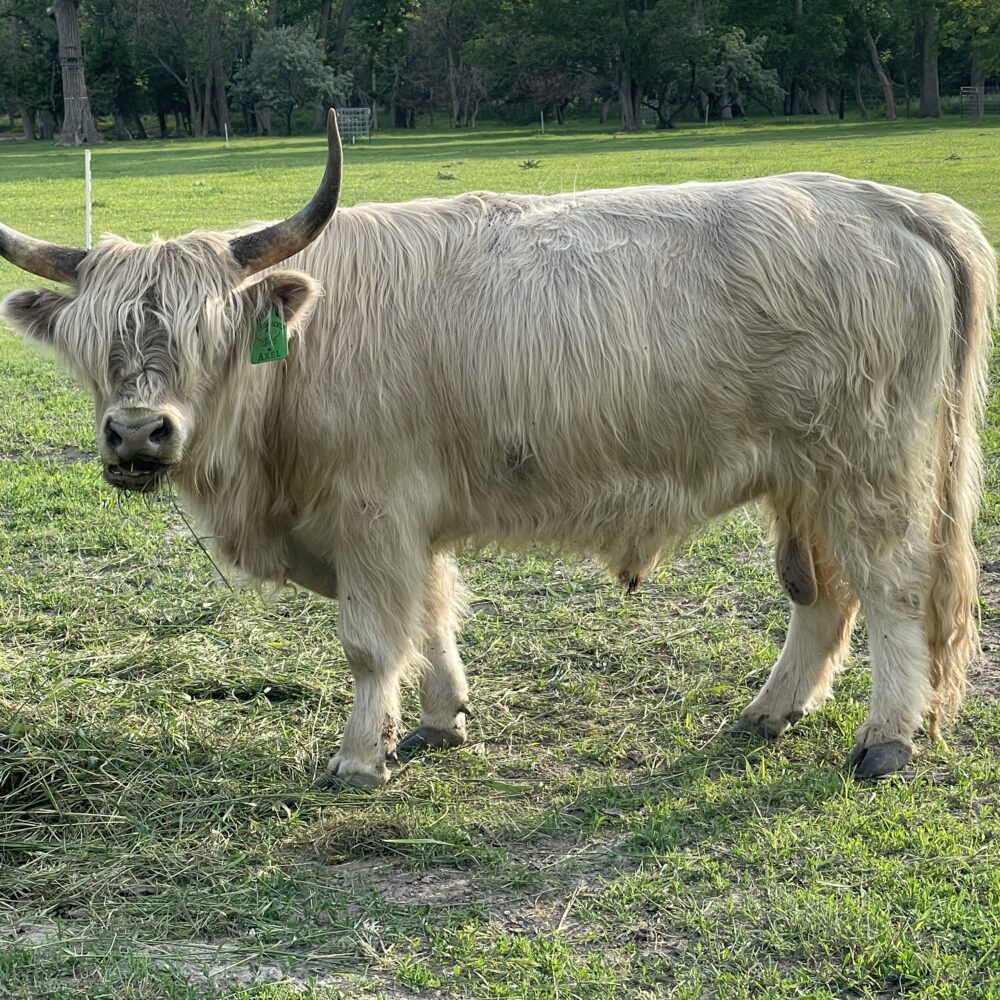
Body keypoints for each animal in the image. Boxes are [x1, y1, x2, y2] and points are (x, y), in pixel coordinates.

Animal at [1, 112, 996, 787]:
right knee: (821, 595)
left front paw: (360, 755)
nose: (139, 432)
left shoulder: (372, 514)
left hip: (871, 467)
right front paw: (443, 720)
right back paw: (766, 714)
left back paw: (887, 739)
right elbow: (434, 618)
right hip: (804, 477)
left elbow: (372, 641)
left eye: (207, 333)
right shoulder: (409, 521)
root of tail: (901, 206)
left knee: (894, 590)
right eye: (93, 342)